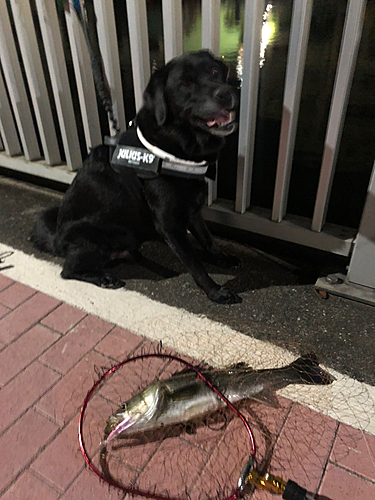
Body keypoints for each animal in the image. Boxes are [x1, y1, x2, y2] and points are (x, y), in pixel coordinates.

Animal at [30, 50, 242, 302]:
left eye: (214, 72)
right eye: (184, 84)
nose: (225, 94)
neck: (175, 146)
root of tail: (56, 241)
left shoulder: (192, 211)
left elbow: (207, 239)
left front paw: (220, 258)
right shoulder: (169, 223)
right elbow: (194, 264)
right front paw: (215, 291)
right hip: (93, 240)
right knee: (68, 270)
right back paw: (104, 278)